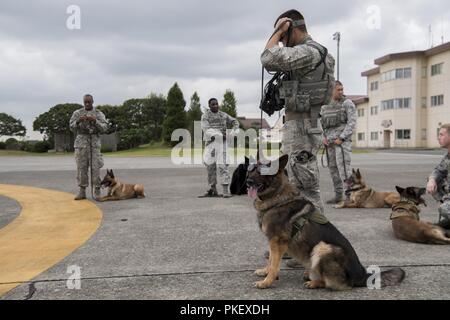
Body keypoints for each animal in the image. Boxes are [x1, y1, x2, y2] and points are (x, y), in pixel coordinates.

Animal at [246, 155, 404, 290]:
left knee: (336, 284)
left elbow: (274, 265)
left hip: (322, 248)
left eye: (262, 171)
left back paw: (314, 282)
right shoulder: (273, 242)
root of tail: (362, 274)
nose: (248, 182)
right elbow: (271, 261)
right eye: (251, 170)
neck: (277, 197)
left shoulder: (277, 242)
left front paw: (267, 282)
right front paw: (265, 272)